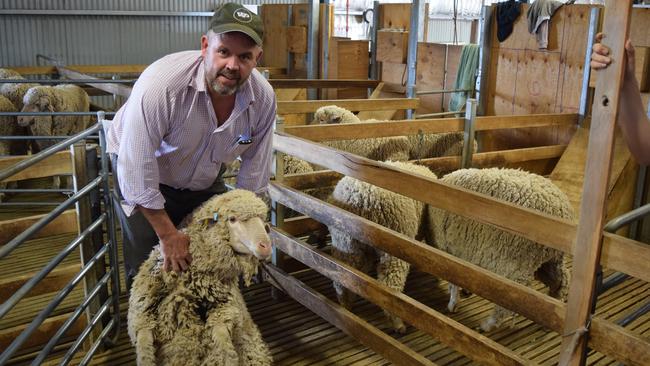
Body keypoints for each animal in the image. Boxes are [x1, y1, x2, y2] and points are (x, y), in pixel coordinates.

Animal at [128, 189, 272, 366]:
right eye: (232, 219)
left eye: (262, 219)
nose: (266, 246)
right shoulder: (141, 314)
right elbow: (144, 350)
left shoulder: (222, 308)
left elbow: (225, 347)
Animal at [330, 162, 436, 334]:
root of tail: (361, 198)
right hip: (394, 245)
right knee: (390, 287)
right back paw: (397, 323)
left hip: (345, 241)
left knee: (341, 275)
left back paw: (346, 304)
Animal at [426, 169, 572, 332]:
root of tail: (562, 210)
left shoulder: (449, 250)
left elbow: (453, 280)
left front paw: (453, 303)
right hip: (549, 260)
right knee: (561, 281)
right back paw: (549, 319)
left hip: (515, 264)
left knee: (511, 302)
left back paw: (487, 324)